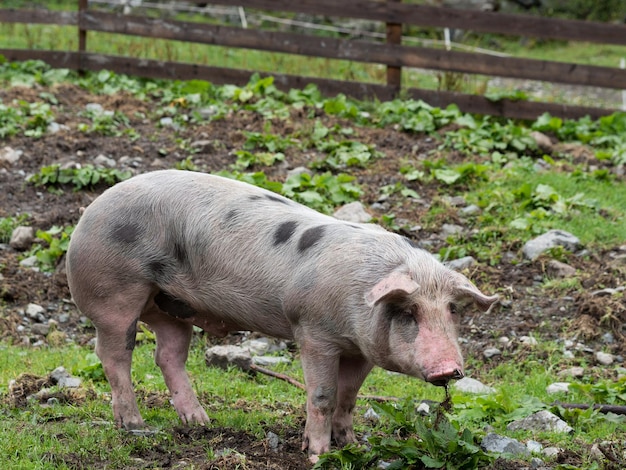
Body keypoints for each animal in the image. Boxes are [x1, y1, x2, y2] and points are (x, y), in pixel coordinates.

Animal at [66, 168, 498, 458]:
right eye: (408, 311)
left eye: (452, 310)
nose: (449, 369)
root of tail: (90, 210)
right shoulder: (313, 333)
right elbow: (322, 395)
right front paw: (319, 454)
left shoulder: (361, 349)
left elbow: (349, 396)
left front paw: (353, 445)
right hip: (115, 294)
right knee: (114, 355)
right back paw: (136, 426)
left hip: (170, 308)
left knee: (167, 355)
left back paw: (200, 423)